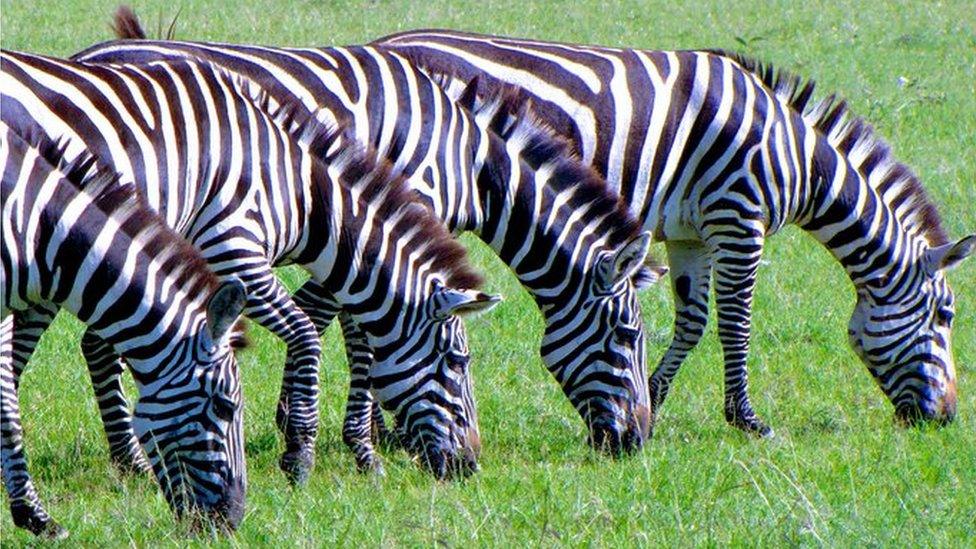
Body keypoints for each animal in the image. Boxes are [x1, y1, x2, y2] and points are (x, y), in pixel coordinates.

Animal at [1, 51, 496, 480]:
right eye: (458, 361)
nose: (470, 466)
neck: (300, 194)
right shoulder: (231, 251)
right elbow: (305, 334)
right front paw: (300, 453)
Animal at [74, 7, 672, 470]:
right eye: (627, 335)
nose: (635, 443)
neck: (470, 162)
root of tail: (94, 53)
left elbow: (342, 317)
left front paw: (346, 426)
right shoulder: (381, 222)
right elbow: (359, 327)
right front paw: (363, 439)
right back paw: (133, 456)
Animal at [370, 28, 972, 432]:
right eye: (946, 316)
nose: (944, 419)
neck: (797, 157)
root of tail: (382, 44)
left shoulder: (691, 235)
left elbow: (693, 321)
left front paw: (653, 401)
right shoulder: (738, 215)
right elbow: (735, 323)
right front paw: (745, 418)